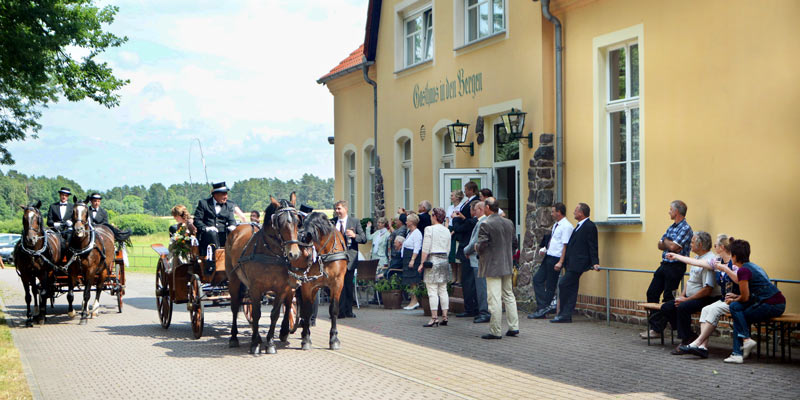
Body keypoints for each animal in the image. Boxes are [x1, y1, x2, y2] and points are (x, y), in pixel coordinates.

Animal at [228, 192, 310, 354]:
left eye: (298, 221)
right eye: (280, 222)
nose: (294, 254)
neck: (271, 254)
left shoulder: (282, 288)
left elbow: (274, 314)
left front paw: (270, 343)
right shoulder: (255, 288)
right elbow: (257, 314)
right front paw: (254, 344)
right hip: (233, 279)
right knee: (234, 307)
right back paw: (234, 337)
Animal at [292, 212, 346, 350]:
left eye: (305, 250)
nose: (292, 257)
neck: (324, 254)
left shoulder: (337, 283)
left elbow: (333, 309)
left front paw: (334, 339)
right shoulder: (307, 285)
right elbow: (307, 310)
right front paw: (306, 339)